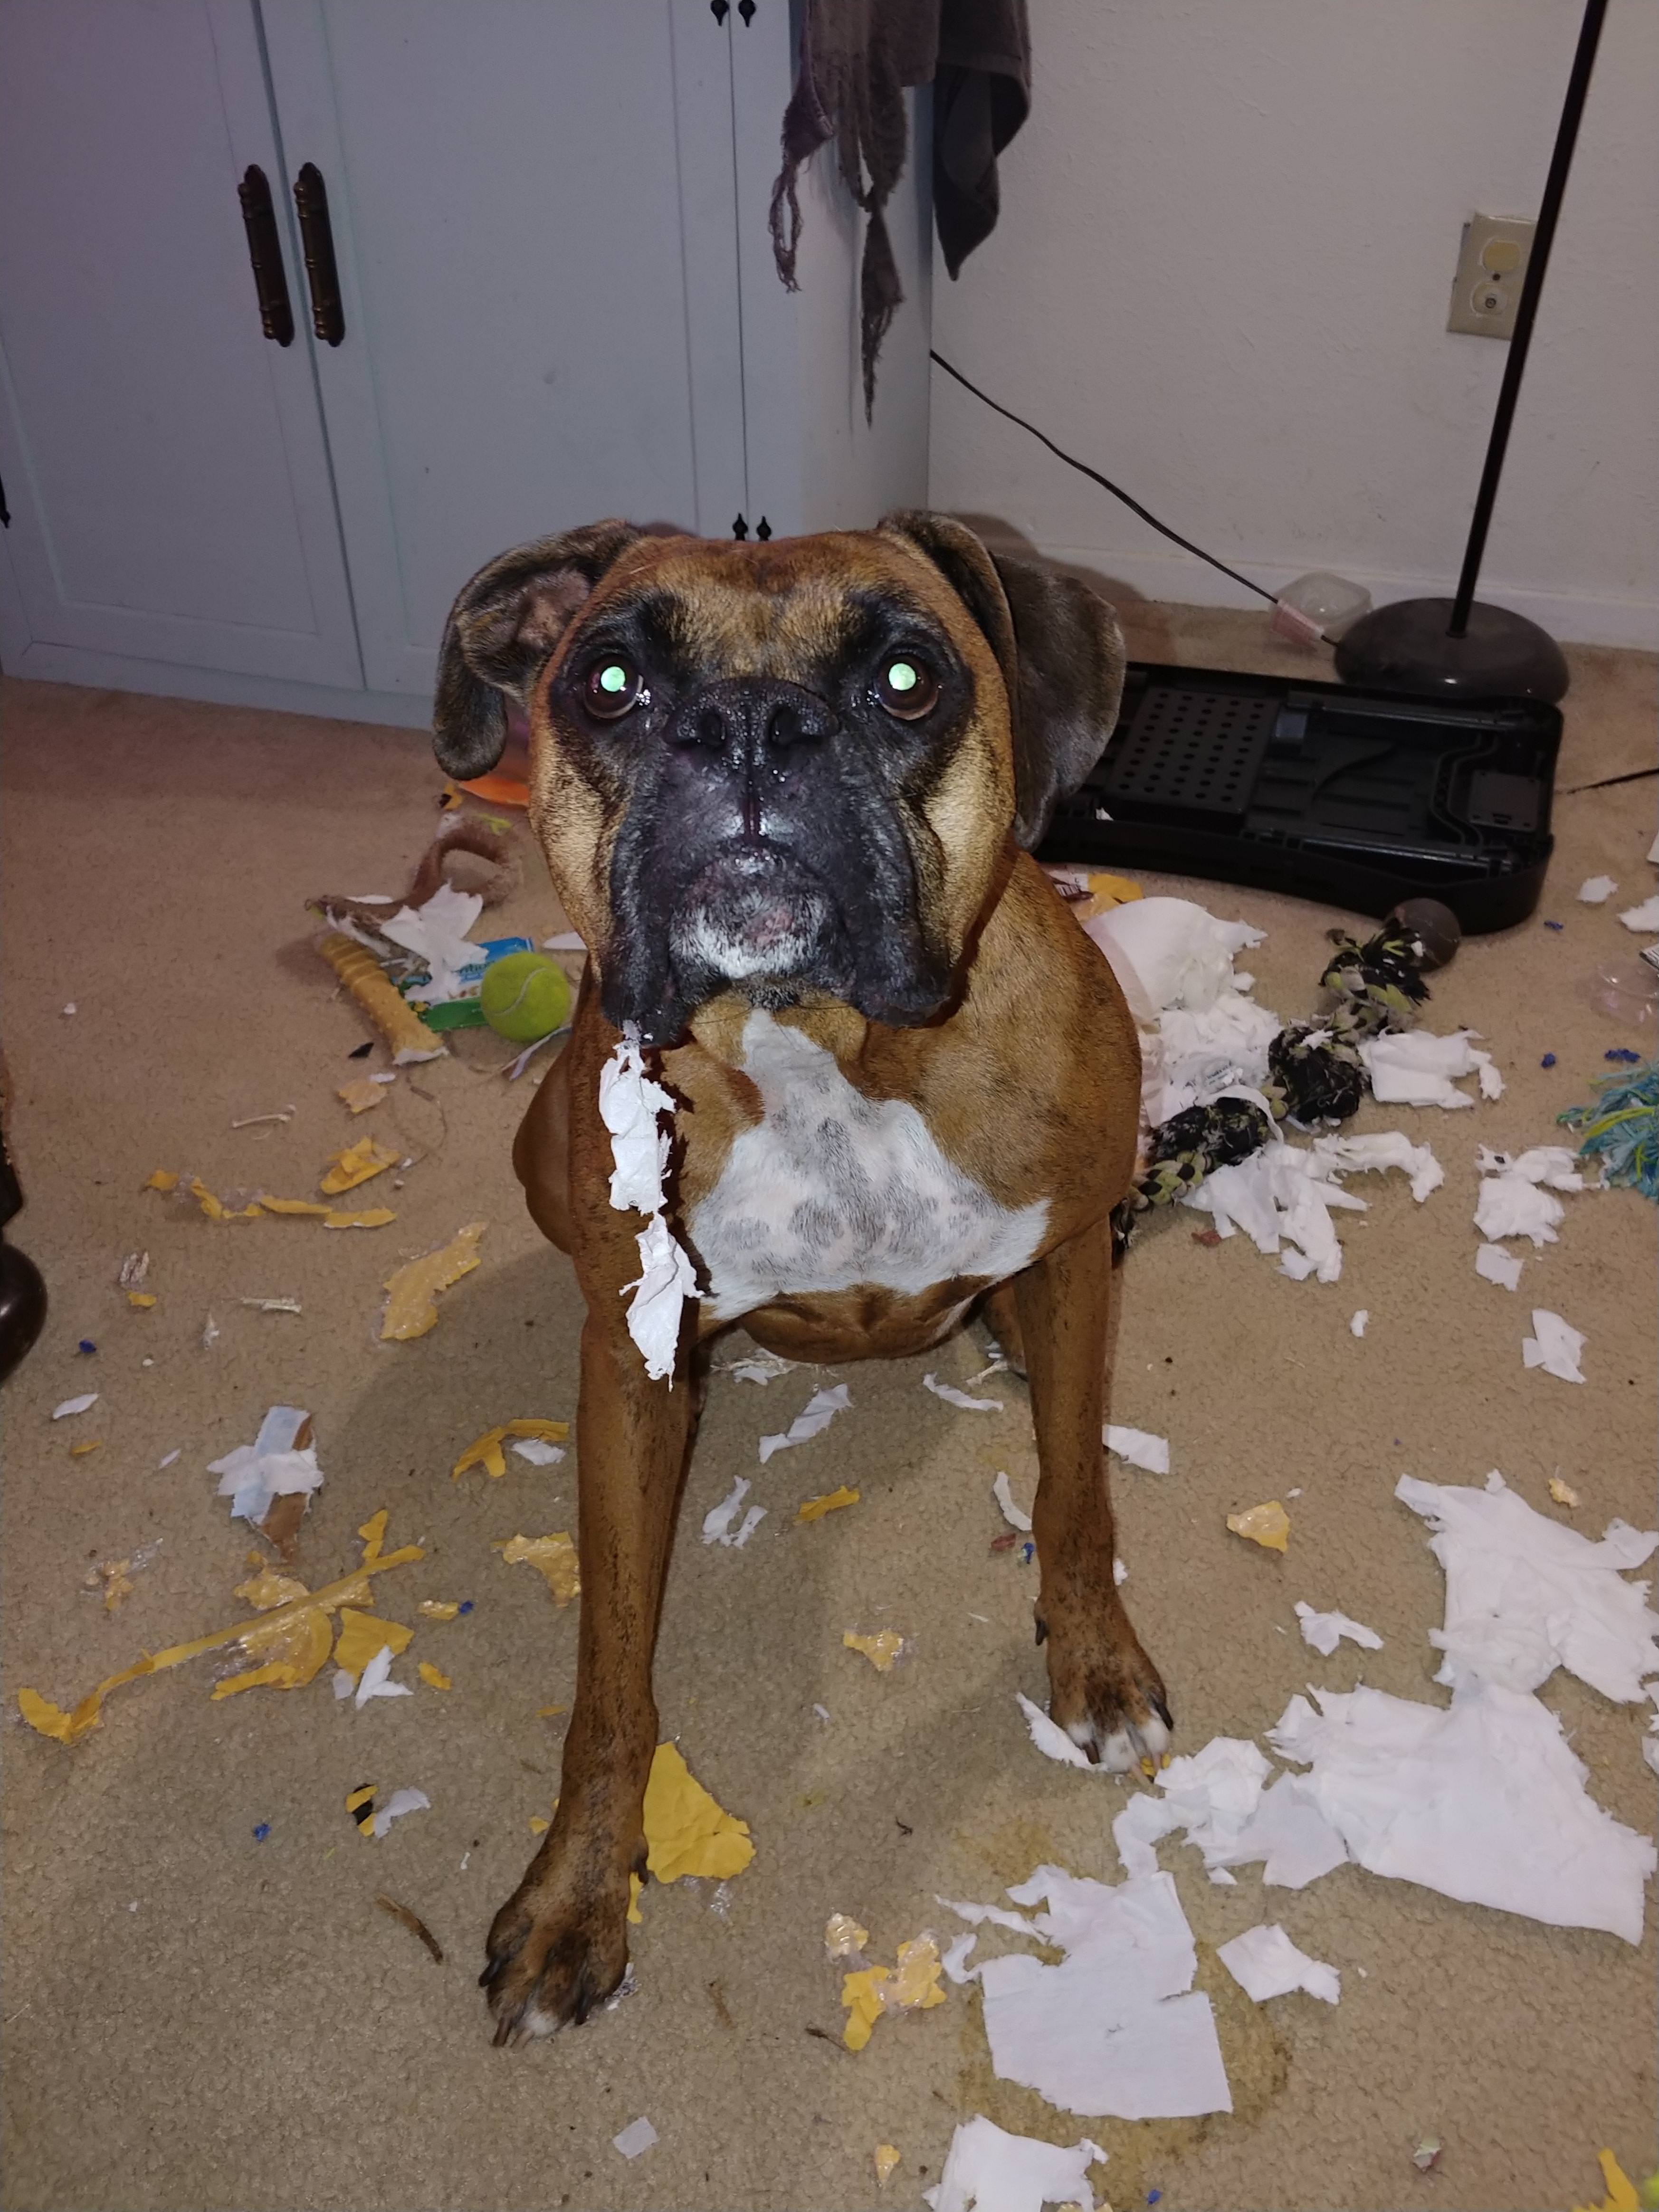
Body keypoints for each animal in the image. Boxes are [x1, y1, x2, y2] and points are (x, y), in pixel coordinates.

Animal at [436, 513, 1176, 2035]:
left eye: (905, 677)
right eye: (607, 683)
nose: (749, 726)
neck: (822, 1044)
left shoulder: (1079, 1255)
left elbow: (1074, 1497)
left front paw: (1094, 1661)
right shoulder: (630, 1365)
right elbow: (609, 1680)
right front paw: (579, 1887)